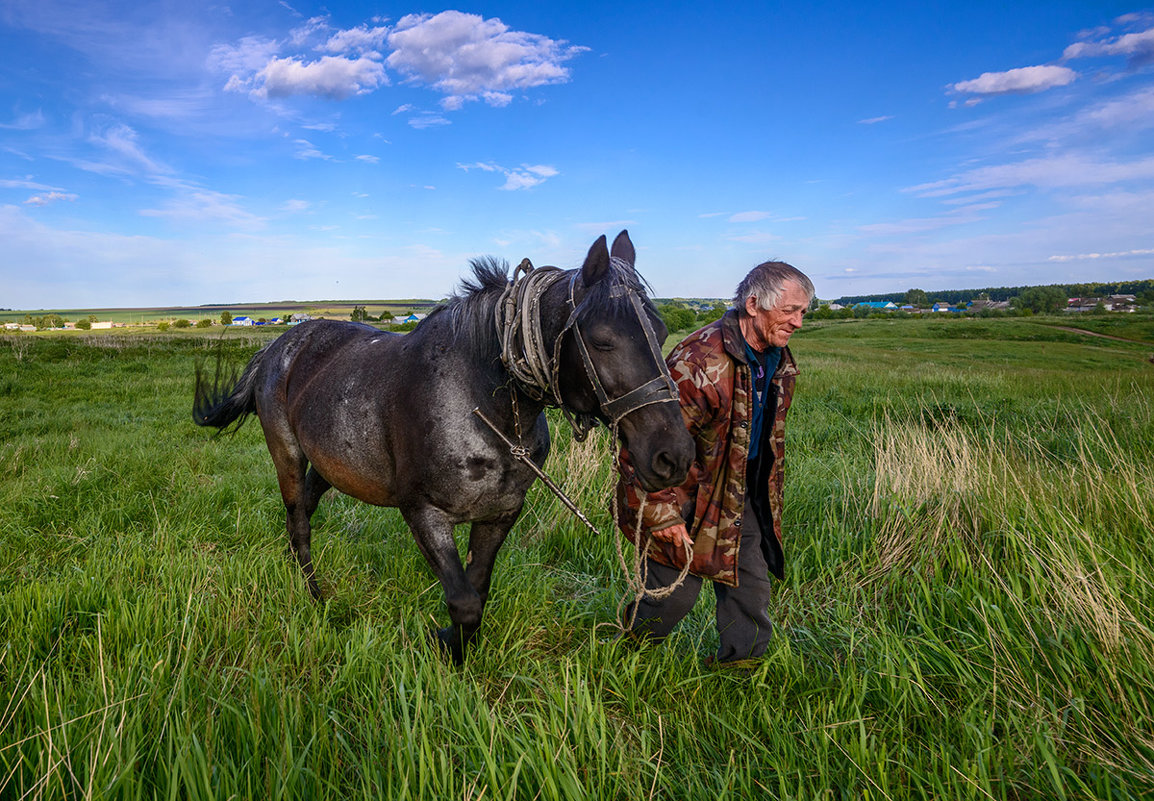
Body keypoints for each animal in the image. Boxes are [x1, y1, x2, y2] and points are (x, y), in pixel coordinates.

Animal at [192, 228, 687, 660]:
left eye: (661, 333)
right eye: (603, 341)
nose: (673, 456)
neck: (478, 399)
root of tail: (281, 344)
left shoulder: (500, 515)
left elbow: (477, 591)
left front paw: (456, 647)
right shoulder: (424, 513)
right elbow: (463, 602)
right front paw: (445, 645)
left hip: (329, 464)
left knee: (307, 511)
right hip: (288, 455)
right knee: (298, 522)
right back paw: (316, 597)